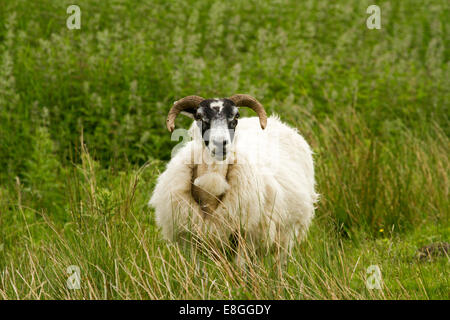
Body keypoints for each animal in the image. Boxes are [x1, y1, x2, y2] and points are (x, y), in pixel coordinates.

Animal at [149, 94, 318, 262]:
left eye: (236, 116)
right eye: (199, 116)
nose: (220, 143)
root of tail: (277, 122)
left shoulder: (245, 239)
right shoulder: (192, 241)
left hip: (287, 235)